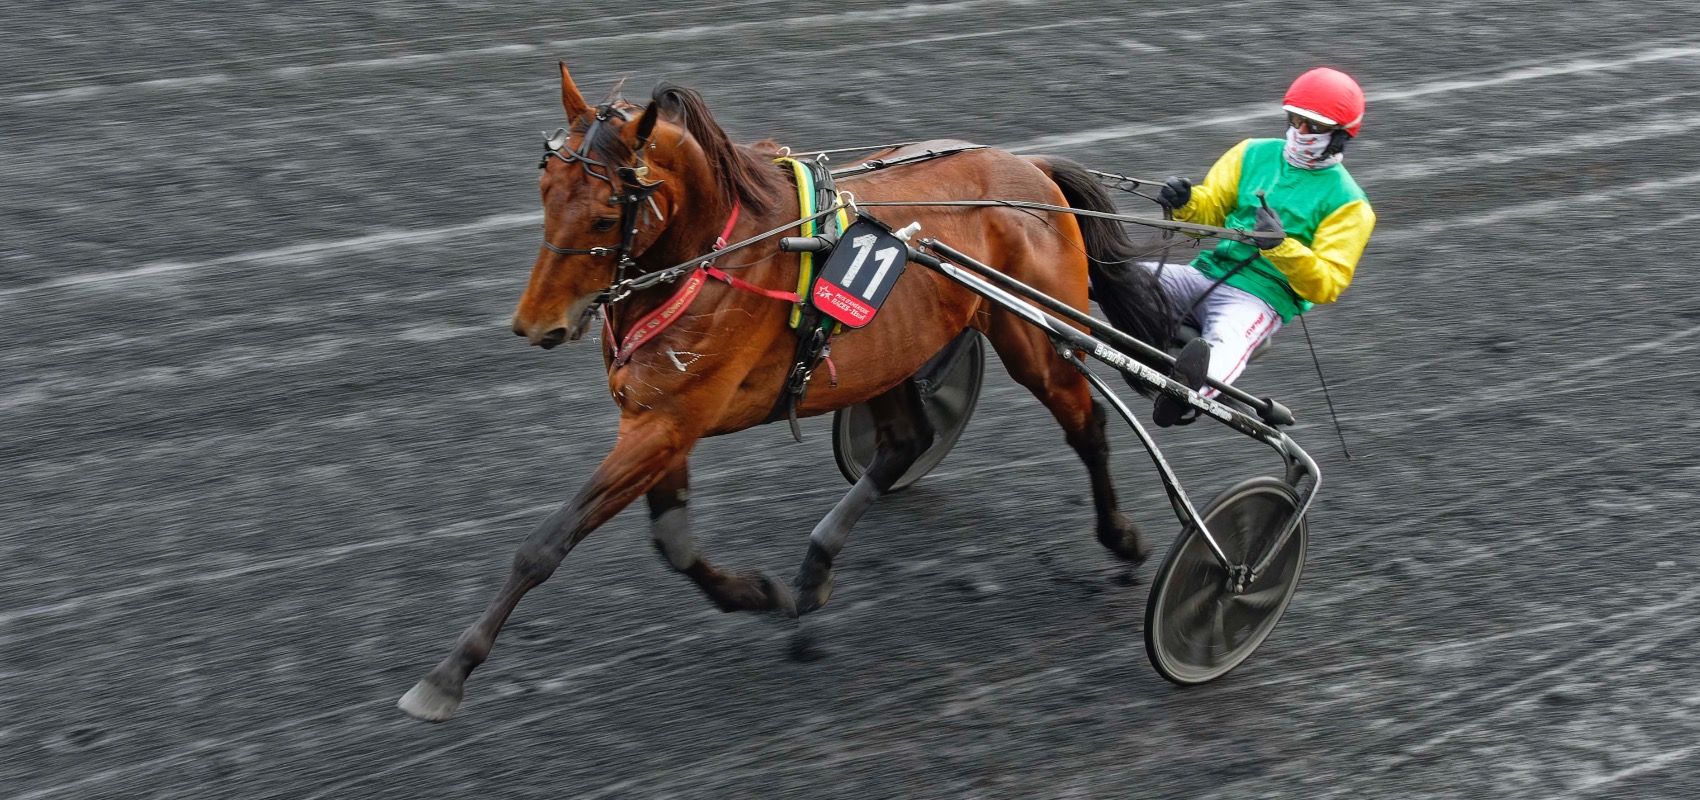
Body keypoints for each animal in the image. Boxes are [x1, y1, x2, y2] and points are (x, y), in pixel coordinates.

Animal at [399, 65, 1176, 723]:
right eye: (544, 195)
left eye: (603, 214)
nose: (535, 325)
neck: (716, 256)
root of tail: (1030, 169)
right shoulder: (659, 420)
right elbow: (674, 543)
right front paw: (759, 593)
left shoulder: (667, 422)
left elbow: (546, 544)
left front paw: (446, 675)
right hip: (886, 352)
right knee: (906, 441)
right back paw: (815, 567)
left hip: (1035, 337)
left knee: (1086, 424)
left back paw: (1123, 538)